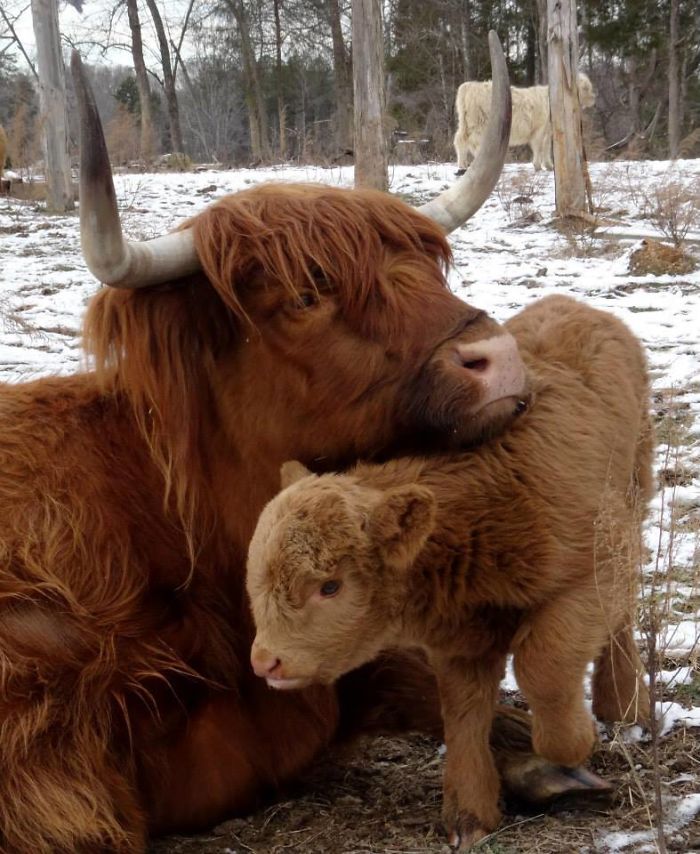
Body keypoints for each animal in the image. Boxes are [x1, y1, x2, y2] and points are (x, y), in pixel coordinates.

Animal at [248, 295, 653, 850]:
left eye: (330, 586)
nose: (267, 661)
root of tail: (569, 304)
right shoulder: (460, 636)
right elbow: (463, 712)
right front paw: (468, 816)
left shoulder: (592, 574)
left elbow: (543, 664)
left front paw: (569, 747)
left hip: (632, 501)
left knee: (621, 620)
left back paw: (626, 703)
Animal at [454, 73, 596, 173]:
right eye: (586, 88)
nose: (594, 98)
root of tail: (469, 86)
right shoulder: (539, 129)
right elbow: (539, 147)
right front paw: (538, 166)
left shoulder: (547, 130)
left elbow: (546, 147)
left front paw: (549, 165)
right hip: (479, 125)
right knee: (473, 143)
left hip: (465, 124)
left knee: (461, 140)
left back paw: (463, 165)